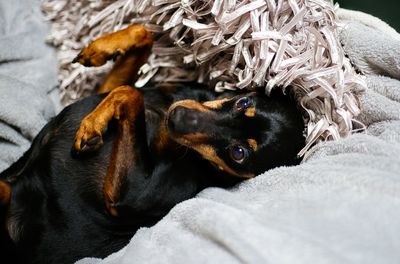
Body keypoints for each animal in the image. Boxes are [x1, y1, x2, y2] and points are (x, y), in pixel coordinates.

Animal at [0, 24, 306, 262]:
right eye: (243, 102)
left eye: (238, 152)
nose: (178, 116)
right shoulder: (105, 91)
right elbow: (143, 37)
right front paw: (99, 51)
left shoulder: (129, 196)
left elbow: (130, 93)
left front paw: (92, 125)